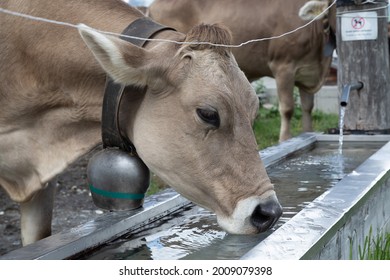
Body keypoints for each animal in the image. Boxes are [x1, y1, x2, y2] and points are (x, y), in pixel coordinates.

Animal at [148, 0, 336, 141]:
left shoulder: (307, 74)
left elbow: (308, 108)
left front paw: (307, 132)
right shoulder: (284, 66)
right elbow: (288, 108)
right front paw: (285, 139)